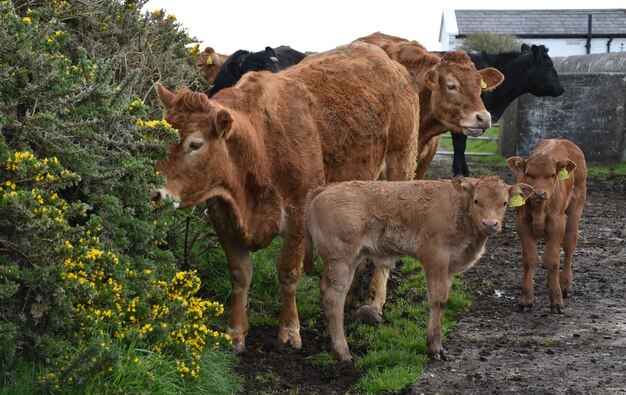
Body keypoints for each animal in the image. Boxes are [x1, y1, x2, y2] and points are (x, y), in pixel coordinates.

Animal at [149, 41, 416, 354]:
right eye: (161, 134)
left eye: (195, 144)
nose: (154, 191)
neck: (259, 145)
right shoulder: (221, 214)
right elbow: (240, 273)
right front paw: (235, 332)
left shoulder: (298, 214)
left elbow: (288, 272)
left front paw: (289, 330)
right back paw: (350, 295)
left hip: (399, 167)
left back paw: (373, 303)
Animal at [304, 176, 532, 362]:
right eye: (477, 201)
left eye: (504, 203)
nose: (490, 224)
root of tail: (327, 187)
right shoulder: (435, 257)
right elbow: (437, 300)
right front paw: (435, 348)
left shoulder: (449, 267)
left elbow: (443, 299)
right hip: (340, 258)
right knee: (334, 297)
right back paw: (343, 352)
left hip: (351, 259)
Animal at [448, 43, 560, 178]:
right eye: (549, 65)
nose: (562, 88)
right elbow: (460, 144)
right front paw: (459, 173)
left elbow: (461, 144)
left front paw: (465, 172)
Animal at [504, 138, 588, 314]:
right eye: (528, 174)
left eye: (552, 175)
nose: (539, 193)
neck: (539, 210)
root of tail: (561, 139)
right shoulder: (522, 223)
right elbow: (530, 258)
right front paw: (526, 299)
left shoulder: (557, 222)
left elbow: (552, 259)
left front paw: (556, 300)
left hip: (576, 206)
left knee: (569, 244)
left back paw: (565, 284)